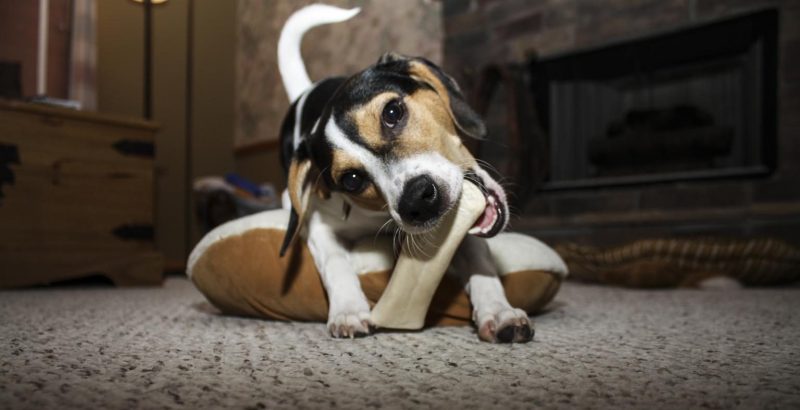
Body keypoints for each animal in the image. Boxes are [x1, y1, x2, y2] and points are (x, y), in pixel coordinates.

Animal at [276, 4, 532, 342]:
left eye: (392, 112)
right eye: (351, 180)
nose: (418, 201)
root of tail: (306, 91)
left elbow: (479, 260)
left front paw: (499, 310)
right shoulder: (320, 225)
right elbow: (335, 262)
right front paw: (348, 310)